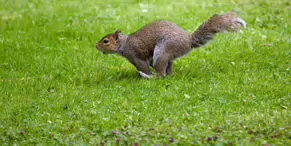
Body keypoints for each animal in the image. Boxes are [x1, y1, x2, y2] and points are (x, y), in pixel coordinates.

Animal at [97, 11, 248, 78]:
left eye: (106, 41)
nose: (96, 46)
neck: (124, 44)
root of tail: (188, 40)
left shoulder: (136, 56)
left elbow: (144, 66)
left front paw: (146, 74)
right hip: (167, 55)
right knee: (167, 71)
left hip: (163, 50)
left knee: (161, 74)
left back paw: (151, 77)